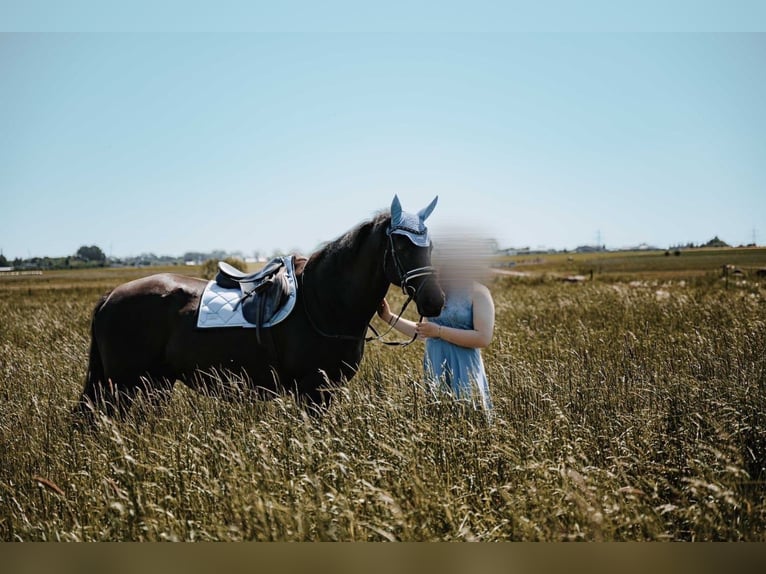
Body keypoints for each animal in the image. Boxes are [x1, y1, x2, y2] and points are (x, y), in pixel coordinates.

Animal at [77, 196, 445, 418]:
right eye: (401, 246)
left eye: (429, 247)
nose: (435, 301)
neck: (323, 301)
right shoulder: (313, 391)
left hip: (154, 385)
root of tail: (111, 296)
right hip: (123, 388)